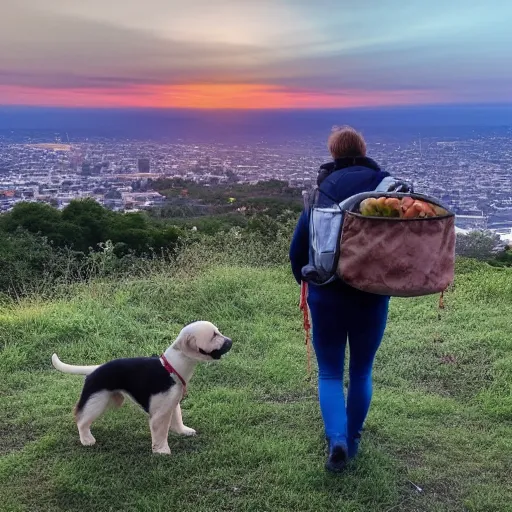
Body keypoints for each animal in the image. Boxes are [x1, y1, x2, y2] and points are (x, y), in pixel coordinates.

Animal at [51, 322, 232, 454]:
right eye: (214, 335)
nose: (231, 341)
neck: (171, 369)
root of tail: (94, 370)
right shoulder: (160, 414)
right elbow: (161, 432)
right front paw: (161, 451)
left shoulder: (172, 402)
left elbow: (177, 418)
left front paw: (183, 431)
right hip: (97, 401)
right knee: (81, 419)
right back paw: (86, 439)